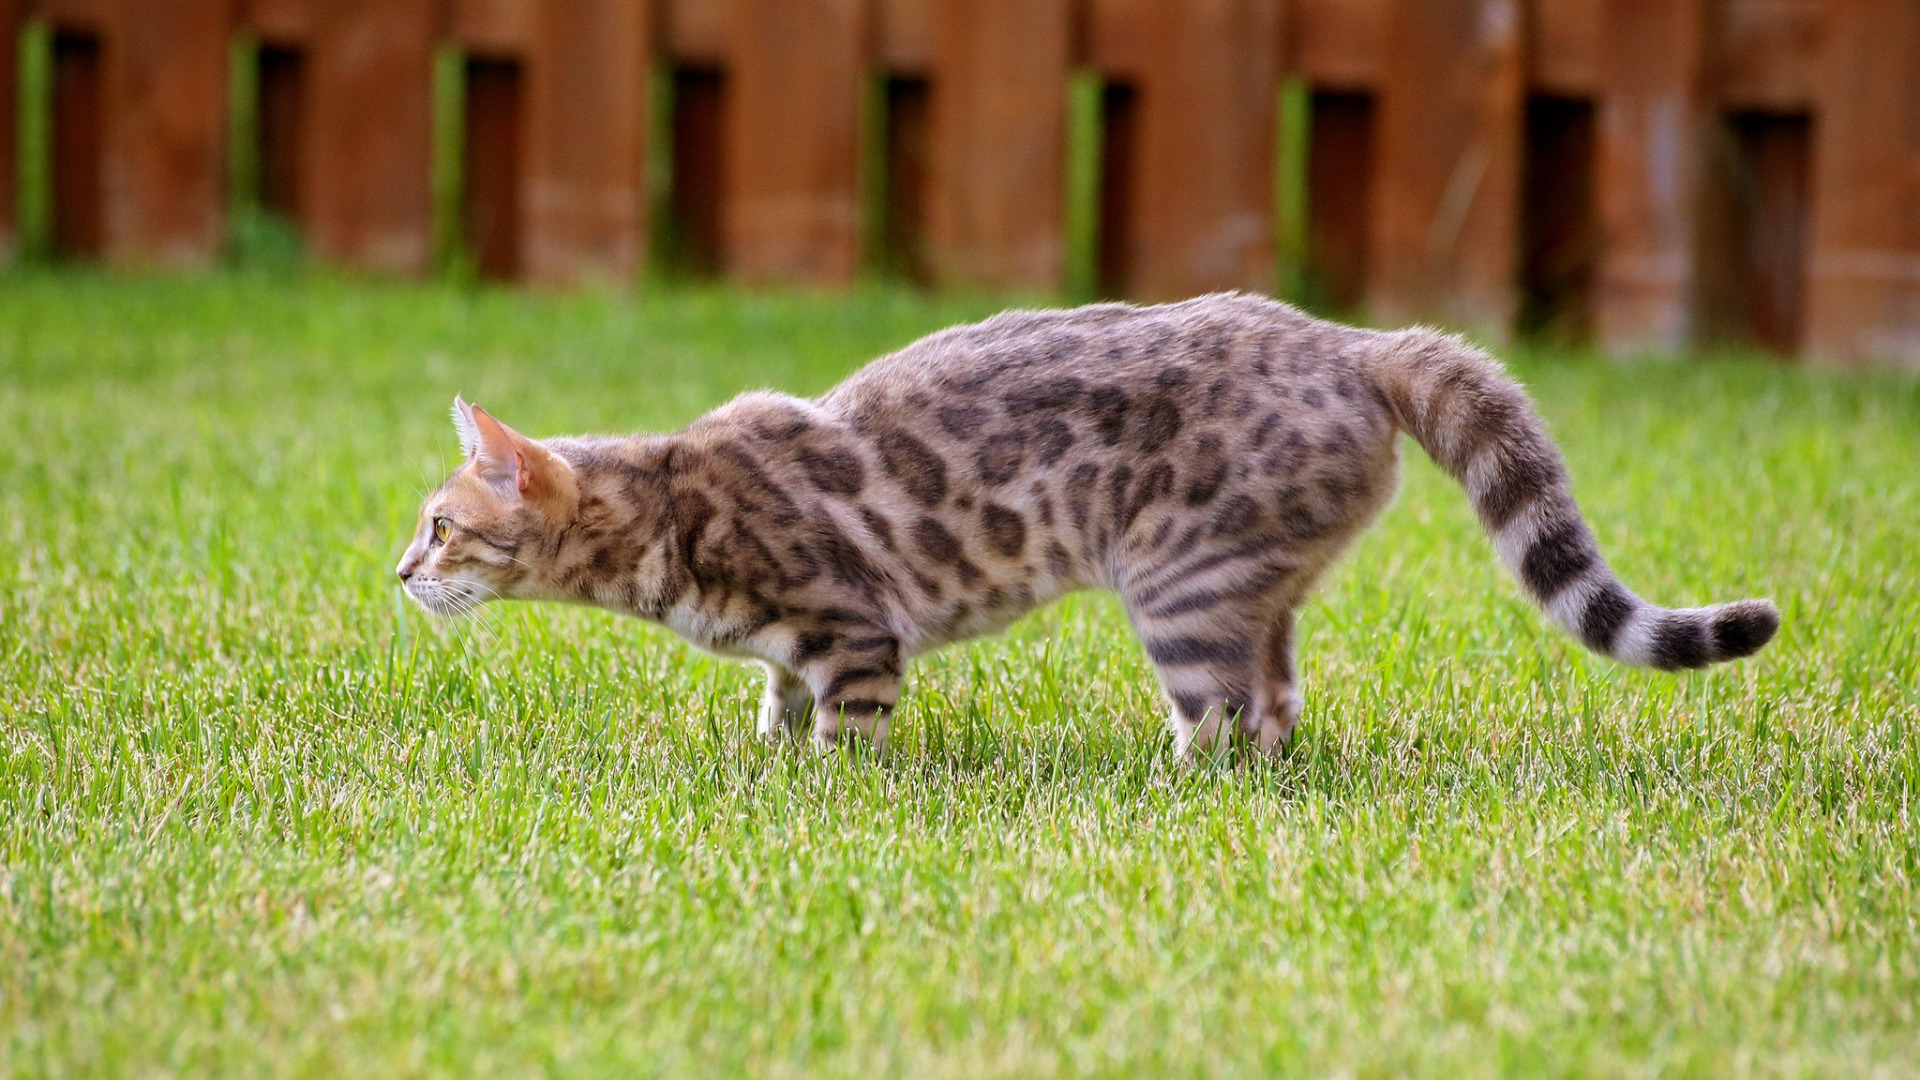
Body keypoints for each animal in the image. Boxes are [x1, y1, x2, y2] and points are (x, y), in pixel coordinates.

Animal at [393, 290, 1781, 753]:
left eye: (442, 527)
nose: (400, 572)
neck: (672, 502)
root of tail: (1350, 338)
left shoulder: (854, 629)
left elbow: (846, 735)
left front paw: (825, 795)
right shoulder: (795, 648)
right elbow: (776, 702)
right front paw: (766, 756)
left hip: (1178, 586)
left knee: (1225, 715)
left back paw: (1163, 789)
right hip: (1257, 583)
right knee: (1278, 704)